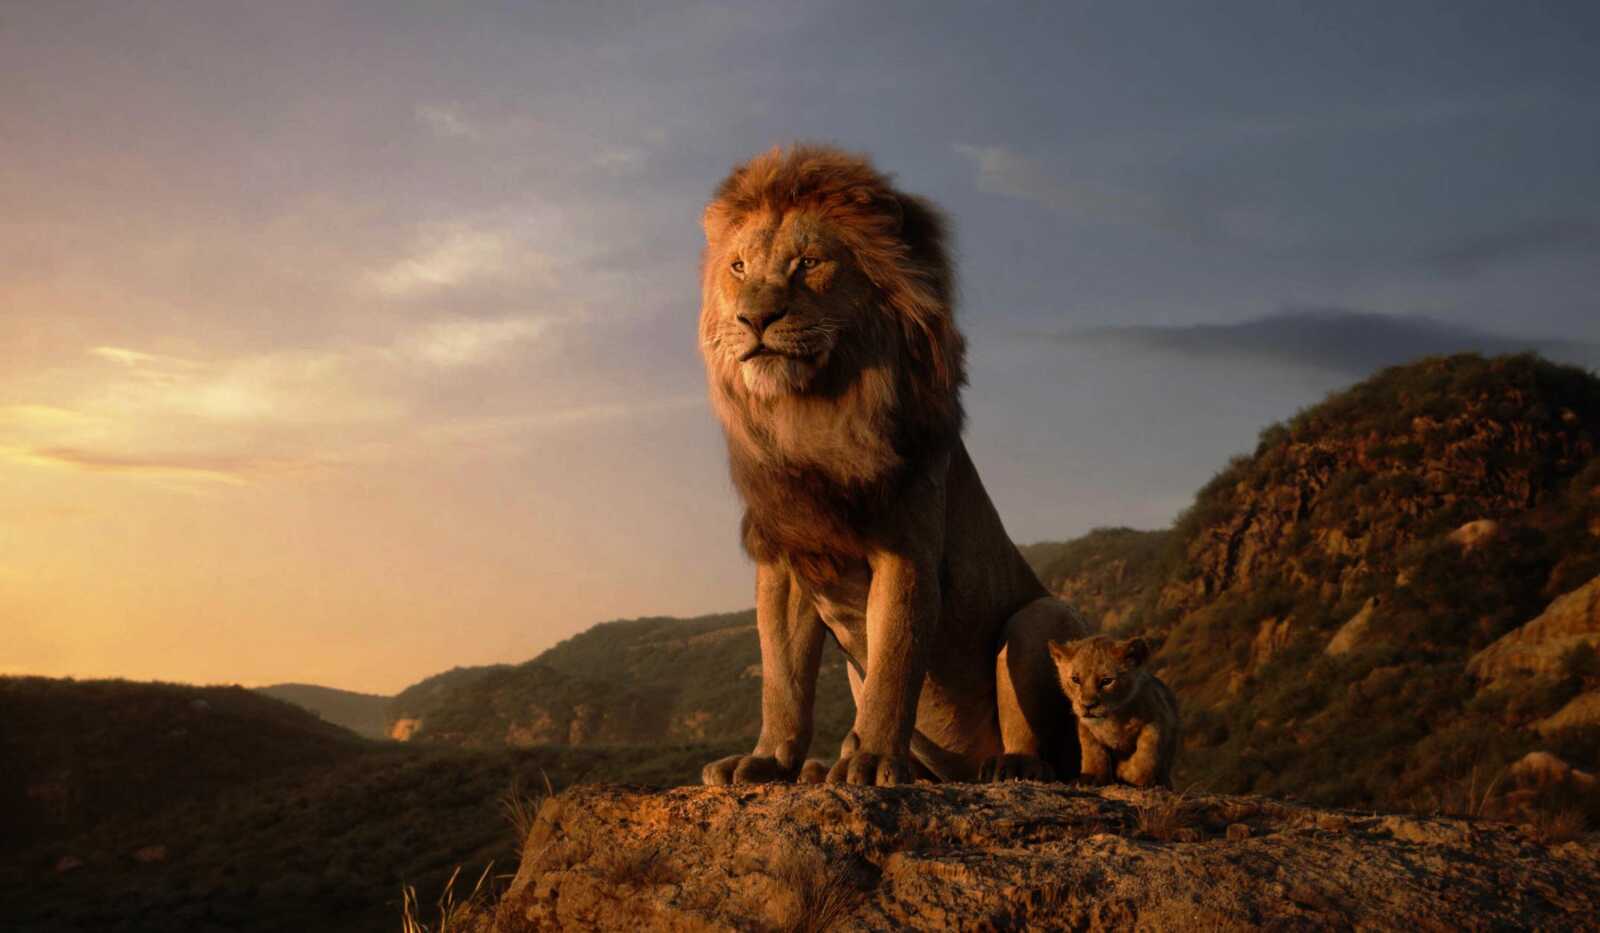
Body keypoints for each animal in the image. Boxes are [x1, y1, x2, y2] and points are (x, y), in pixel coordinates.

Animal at [695, 144, 1090, 786]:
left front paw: (874, 760)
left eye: (808, 263)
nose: (754, 319)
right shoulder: (787, 558)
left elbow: (894, 665)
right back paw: (822, 768)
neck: (812, 414)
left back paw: (1008, 766)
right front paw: (768, 760)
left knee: (1048, 747)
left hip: (1041, 617)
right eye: (737, 267)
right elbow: (782, 679)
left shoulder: (906, 549)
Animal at [1049, 636, 1179, 788]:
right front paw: (1092, 777)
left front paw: (1132, 775)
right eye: (1075, 679)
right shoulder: (1086, 727)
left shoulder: (1157, 718)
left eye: (1106, 681)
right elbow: (1093, 751)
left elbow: (1147, 750)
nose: (1088, 706)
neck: (1112, 719)